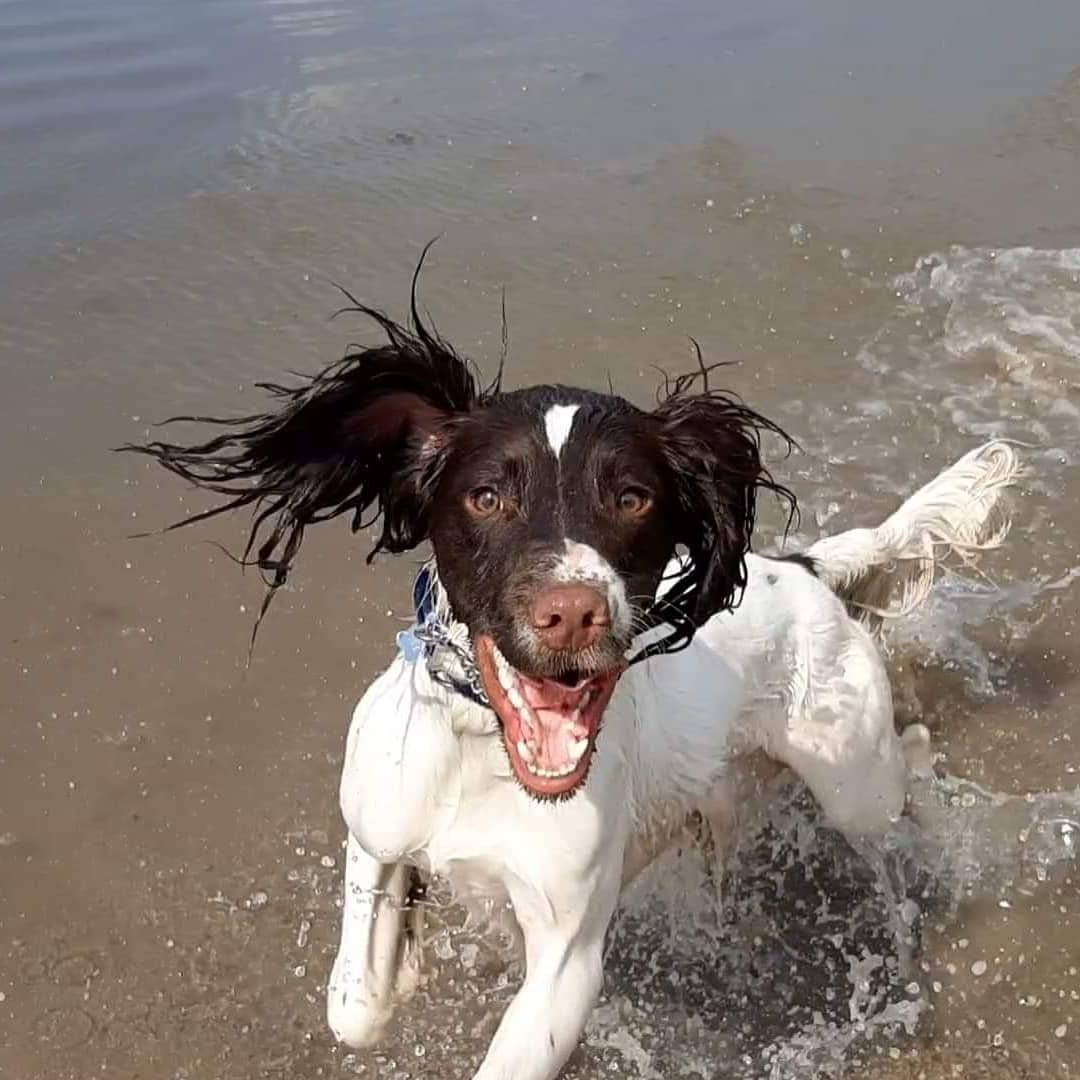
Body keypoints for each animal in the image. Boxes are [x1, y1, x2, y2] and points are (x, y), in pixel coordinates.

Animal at [127, 282, 1018, 1080]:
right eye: (486, 495)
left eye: (633, 497)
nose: (573, 612)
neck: (483, 756)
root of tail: (805, 566)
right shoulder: (374, 831)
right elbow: (355, 1006)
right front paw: (405, 955)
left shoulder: (566, 959)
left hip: (851, 777)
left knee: (905, 762)